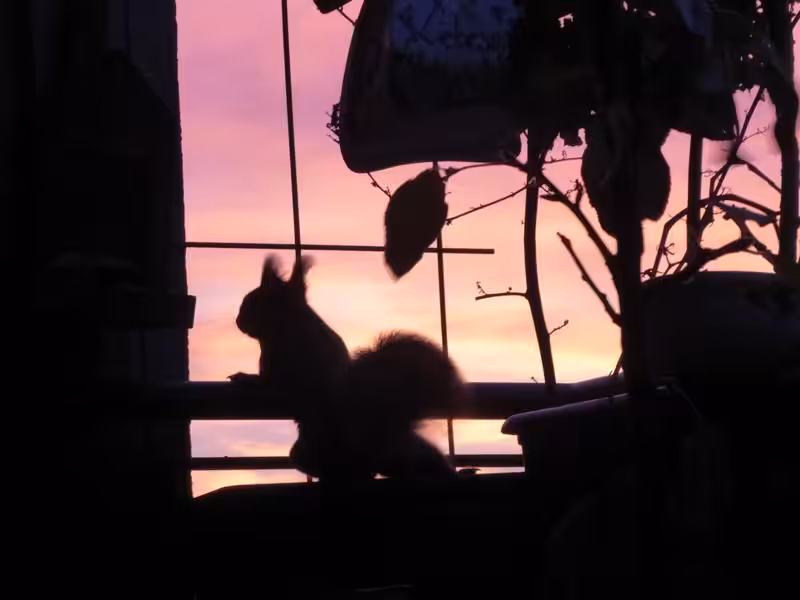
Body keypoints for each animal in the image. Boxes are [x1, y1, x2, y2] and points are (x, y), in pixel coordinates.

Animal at [233, 254, 468, 483]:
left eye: (252, 302)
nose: (238, 322)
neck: (291, 323)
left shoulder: (282, 364)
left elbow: (270, 383)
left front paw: (245, 377)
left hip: (313, 449)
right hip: (401, 450)